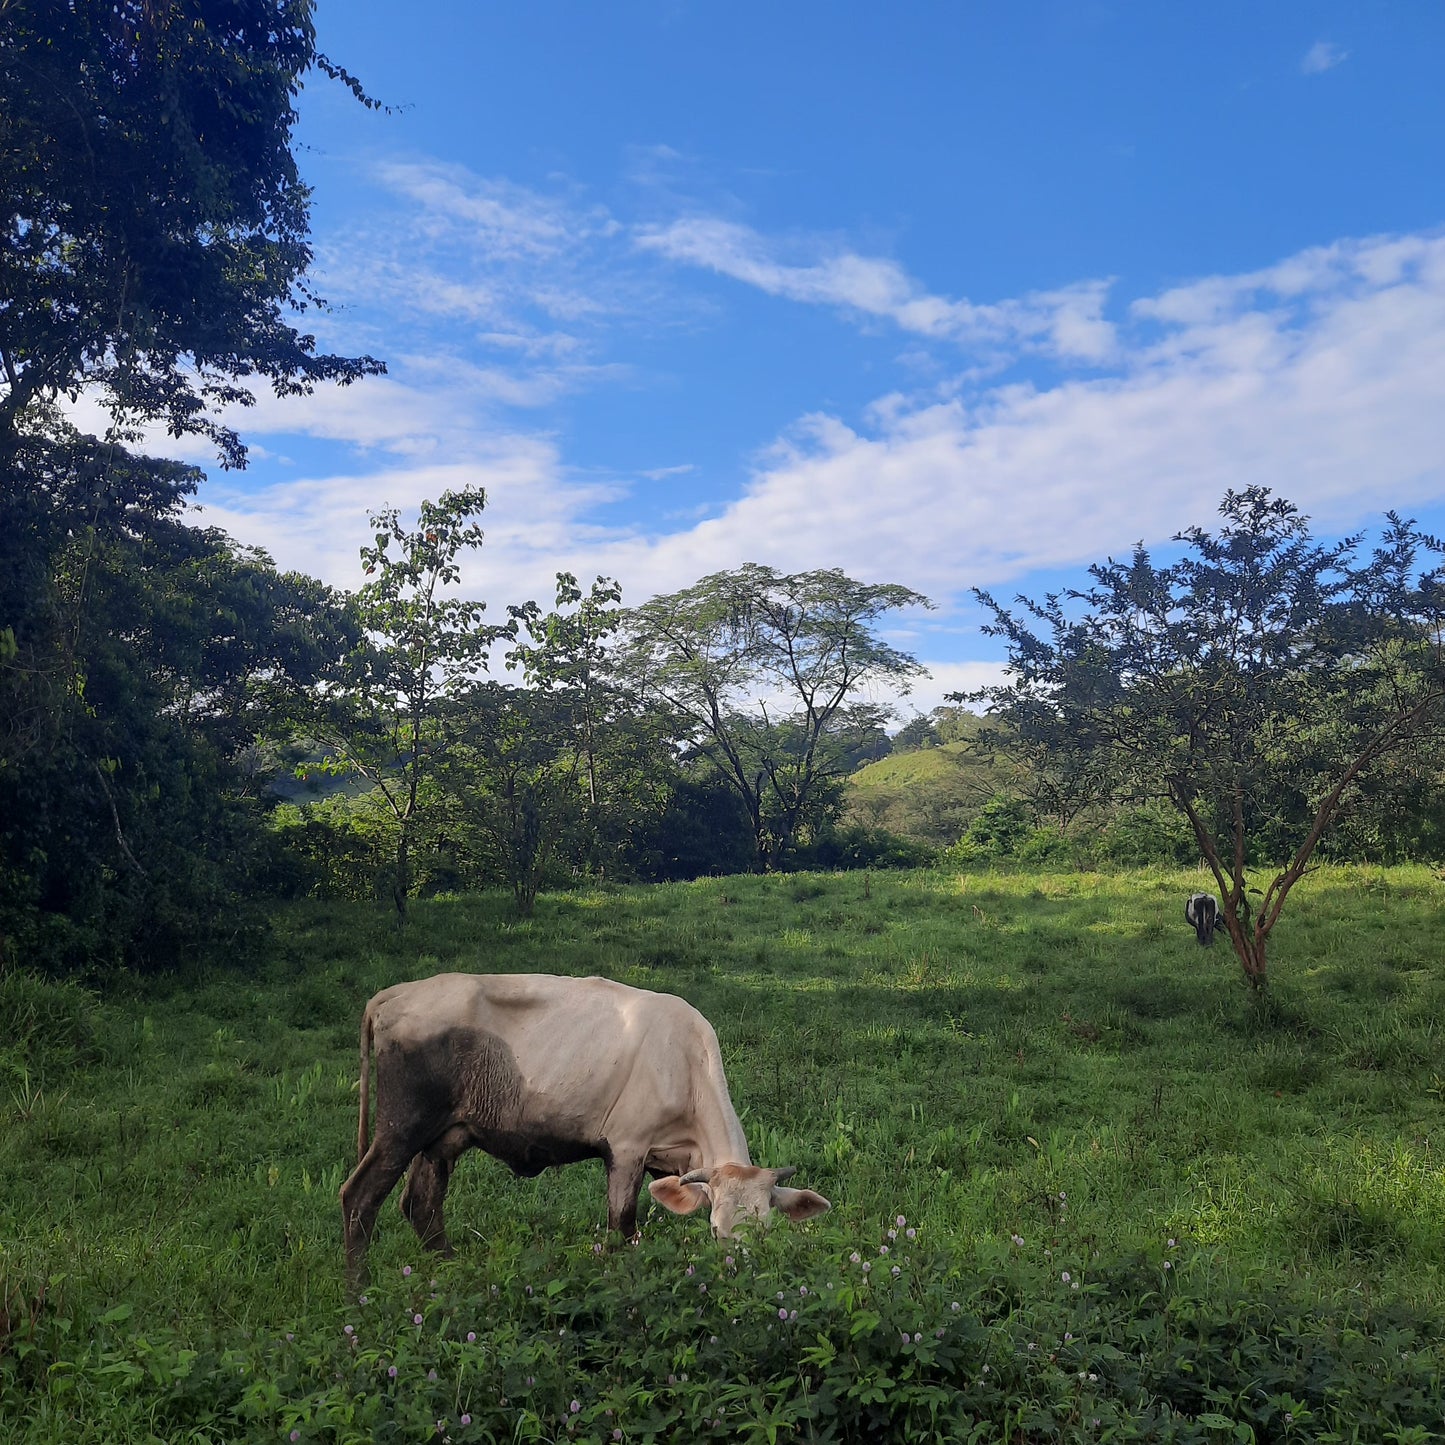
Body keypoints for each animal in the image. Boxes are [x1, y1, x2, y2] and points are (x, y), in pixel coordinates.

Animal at [340, 972, 829, 1279]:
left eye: (765, 1229)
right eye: (715, 1230)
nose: (741, 1273)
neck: (686, 1064)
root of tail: (396, 993)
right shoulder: (627, 1148)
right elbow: (621, 1228)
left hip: (444, 1136)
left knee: (422, 1204)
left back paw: (448, 1272)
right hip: (402, 1124)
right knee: (360, 1198)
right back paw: (358, 1296)